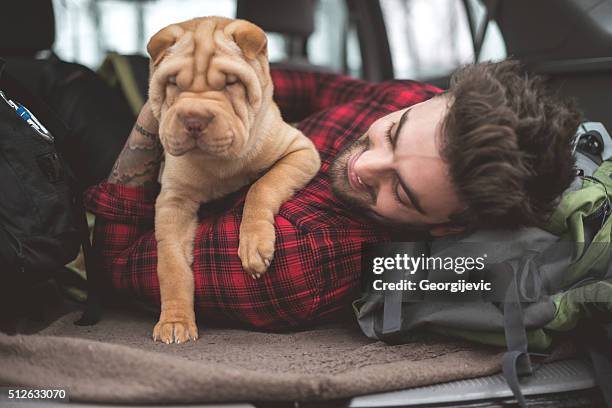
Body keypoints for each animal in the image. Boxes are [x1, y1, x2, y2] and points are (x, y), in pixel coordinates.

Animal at [146, 17, 322, 344]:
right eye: (173, 82)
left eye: (230, 83)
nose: (194, 119)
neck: (220, 163)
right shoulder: (173, 201)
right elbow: (171, 264)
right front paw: (175, 321)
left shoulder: (300, 151)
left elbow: (261, 187)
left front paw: (254, 245)